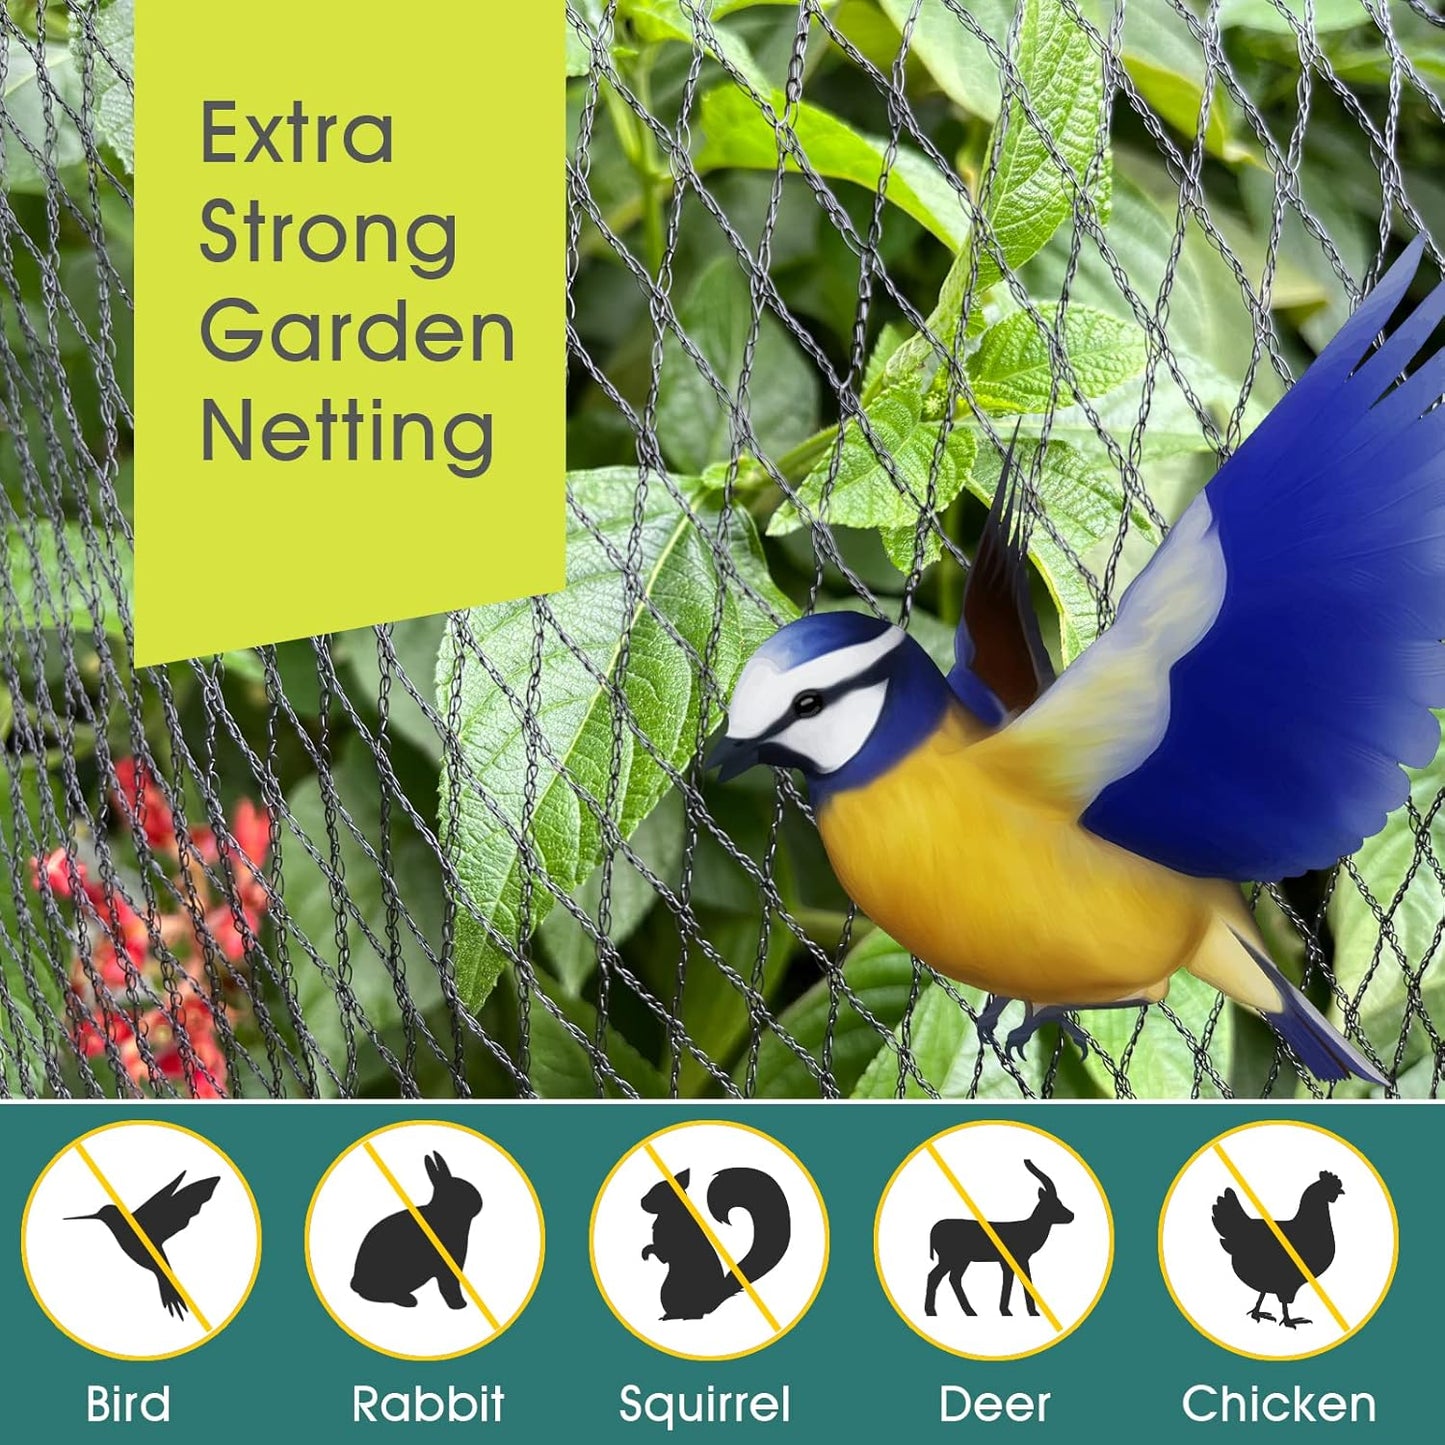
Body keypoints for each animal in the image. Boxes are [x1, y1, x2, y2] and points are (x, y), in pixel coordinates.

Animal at [639, 1166, 791, 1321]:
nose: (641, 1201)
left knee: (696, 1315)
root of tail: (713, 1300)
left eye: (655, 1192)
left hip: (670, 1292)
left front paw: (646, 1253)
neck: (672, 1211)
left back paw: (675, 1316)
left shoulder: (666, 1248)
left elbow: (658, 1252)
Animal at [923, 1159, 1074, 1318]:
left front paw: (1007, 1311)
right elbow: (1024, 1279)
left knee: (953, 1278)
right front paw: (1031, 1312)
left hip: (960, 1260)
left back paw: (970, 1312)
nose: (1072, 1215)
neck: (1028, 1229)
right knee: (935, 1276)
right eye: (1055, 1204)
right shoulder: (1020, 1258)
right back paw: (932, 1311)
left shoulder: (1007, 1262)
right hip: (950, 1258)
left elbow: (1010, 1280)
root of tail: (933, 1230)